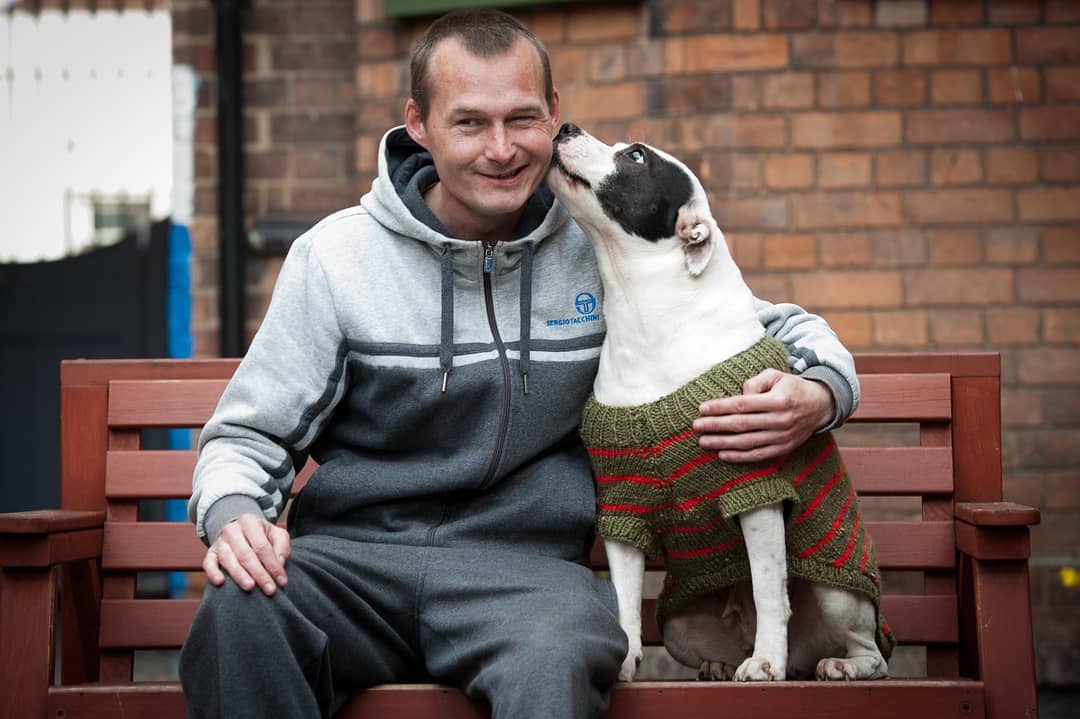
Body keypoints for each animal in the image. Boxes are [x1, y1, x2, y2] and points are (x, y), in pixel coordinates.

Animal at [548, 124, 894, 682]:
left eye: (636, 156)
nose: (565, 127)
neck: (643, 312)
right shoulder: (624, 507)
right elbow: (624, 599)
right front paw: (623, 656)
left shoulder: (755, 491)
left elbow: (770, 589)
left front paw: (766, 661)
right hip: (679, 624)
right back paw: (719, 665)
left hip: (839, 591)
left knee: (872, 651)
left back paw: (835, 665)